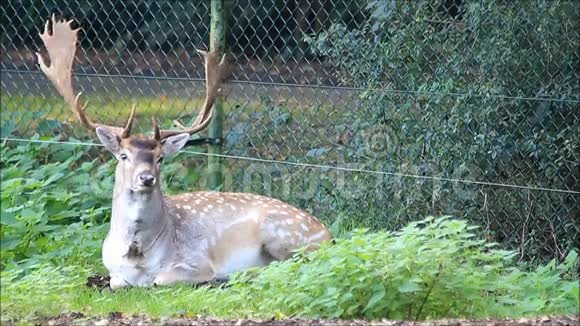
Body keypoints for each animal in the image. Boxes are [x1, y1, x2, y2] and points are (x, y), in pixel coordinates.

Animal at [37, 16, 330, 290]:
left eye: (159, 158)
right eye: (123, 156)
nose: (146, 178)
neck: (138, 257)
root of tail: (328, 234)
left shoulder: (197, 262)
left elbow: (160, 279)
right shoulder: (114, 271)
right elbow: (116, 281)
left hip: (285, 234)